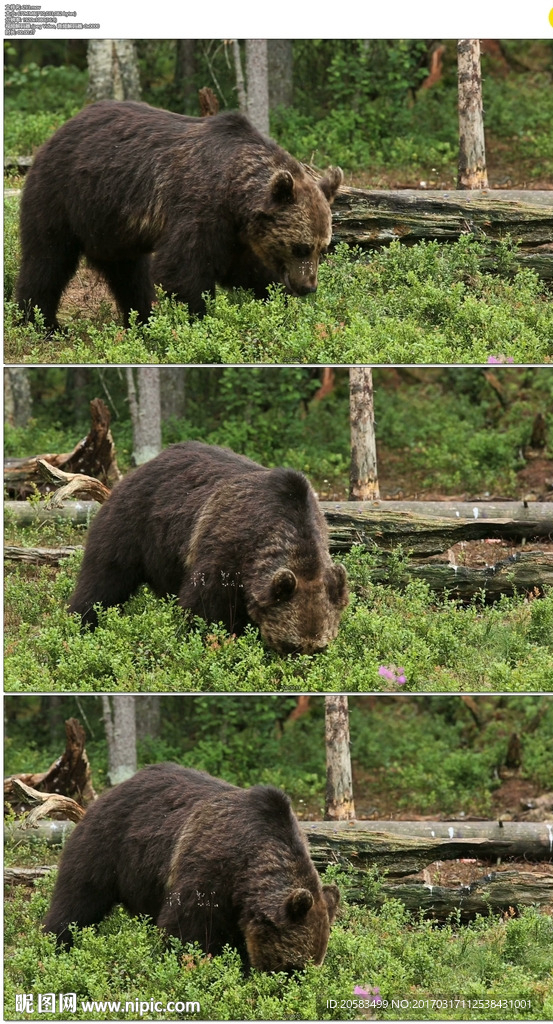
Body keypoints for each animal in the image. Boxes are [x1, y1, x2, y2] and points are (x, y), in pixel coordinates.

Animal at [16, 99, 342, 327]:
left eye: (323, 248)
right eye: (300, 247)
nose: (307, 286)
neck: (233, 190)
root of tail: (60, 129)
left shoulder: (235, 233)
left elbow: (246, 270)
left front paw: (276, 301)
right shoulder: (199, 207)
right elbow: (183, 270)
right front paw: (201, 319)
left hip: (112, 224)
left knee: (129, 274)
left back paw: (143, 320)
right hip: (61, 196)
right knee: (47, 259)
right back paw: (41, 323)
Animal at [43, 765, 339, 970]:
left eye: (312, 965)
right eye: (293, 965)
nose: (290, 985)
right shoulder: (210, 868)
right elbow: (187, 927)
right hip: (107, 846)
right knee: (78, 898)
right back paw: (55, 941)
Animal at [68, 440, 346, 655]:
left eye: (319, 647)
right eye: (292, 645)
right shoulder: (226, 549)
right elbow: (204, 606)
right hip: (133, 524)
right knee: (104, 577)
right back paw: (81, 622)